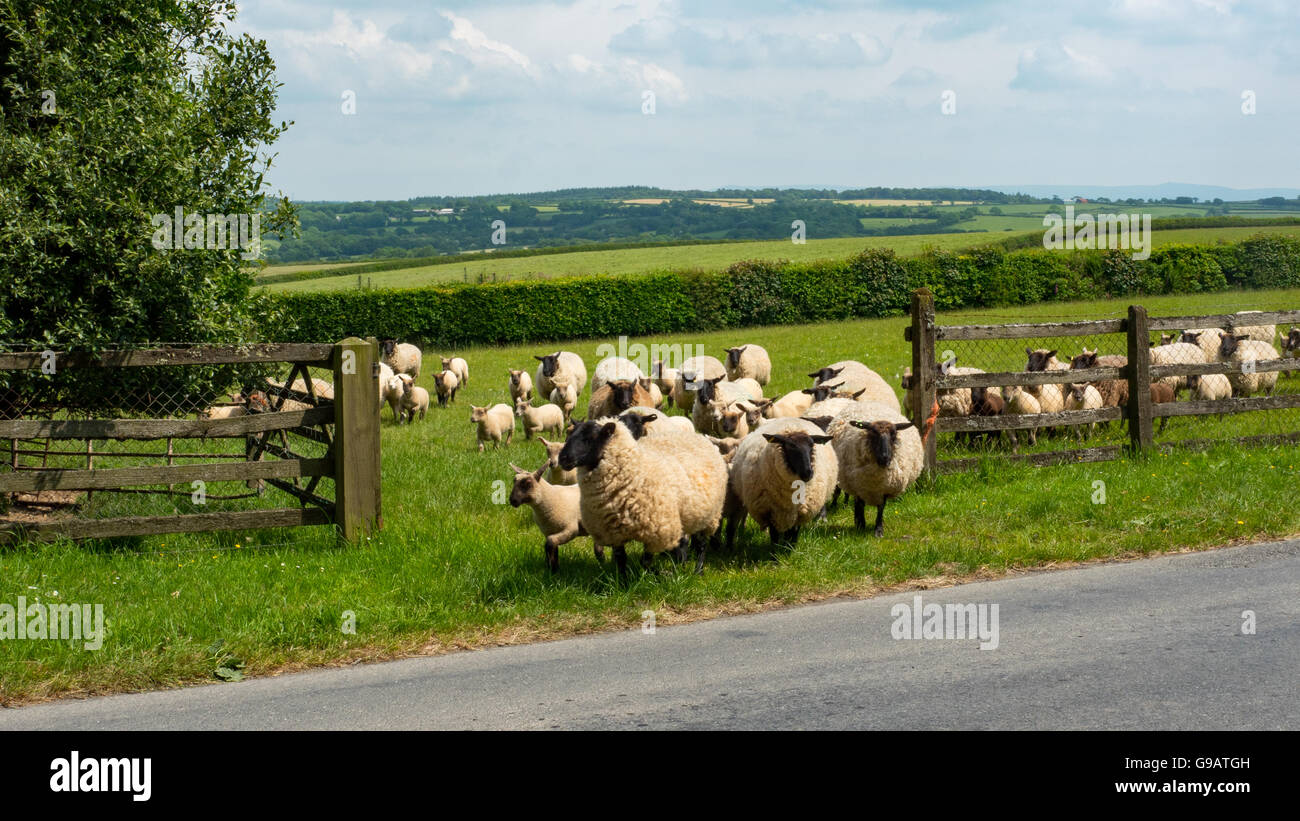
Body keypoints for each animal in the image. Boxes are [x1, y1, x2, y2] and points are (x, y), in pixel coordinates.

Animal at [553, 415, 728, 576]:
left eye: (589, 438)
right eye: (569, 435)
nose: (563, 458)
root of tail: (698, 436)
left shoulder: (655, 532)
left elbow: (645, 561)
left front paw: (658, 574)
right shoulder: (613, 533)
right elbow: (621, 559)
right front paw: (622, 582)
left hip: (709, 516)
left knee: (701, 545)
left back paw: (698, 571)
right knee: (685, 543)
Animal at [728, 420, 837, 548]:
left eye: (812, 445)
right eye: (791, 446)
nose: (808, 473)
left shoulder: (799, 512)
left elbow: (793, 533)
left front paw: (789, 549)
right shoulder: (770, 510)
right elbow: (774, 535)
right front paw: (776, 551)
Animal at [826, 400, 920, 537]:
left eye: (893, 434)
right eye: (873, 433)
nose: (884, 457)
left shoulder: (886, 487)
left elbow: (881, 507)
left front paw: (878, 530)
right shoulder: (859, 485)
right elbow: (860, 505)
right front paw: (860, 526)